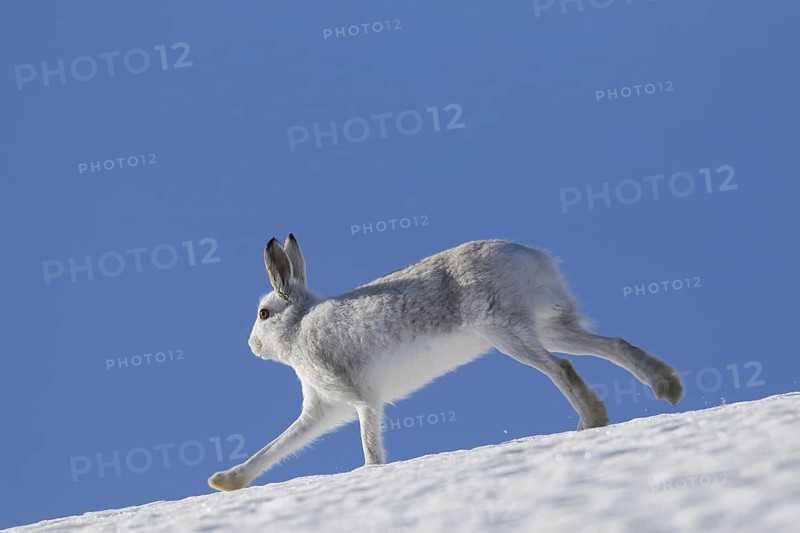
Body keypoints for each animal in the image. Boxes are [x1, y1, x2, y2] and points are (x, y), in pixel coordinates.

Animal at [208, 234, 684, 492]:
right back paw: (664, 388)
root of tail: (532, 257)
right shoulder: (321, 410)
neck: (300, 324)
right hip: (547, 326)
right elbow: (280, 445)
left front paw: (370, 473)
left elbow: (368, 441)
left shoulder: (356, 397)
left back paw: (591, 422)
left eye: (263, 314)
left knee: (561, 369)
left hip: (501, 329)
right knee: (611, 344)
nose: (251, 345)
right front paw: (226, 481)